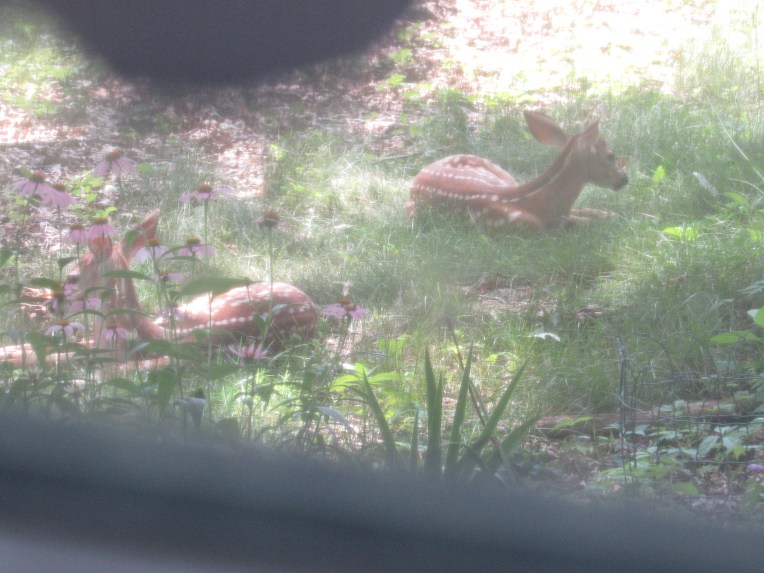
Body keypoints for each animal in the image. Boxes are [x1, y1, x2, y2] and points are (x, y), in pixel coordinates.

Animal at [406, 110, 628, 230]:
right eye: (611, 155)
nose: (624, 178)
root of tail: (417, 178)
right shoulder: (527, 227)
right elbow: (580, 221)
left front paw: (610, 214)